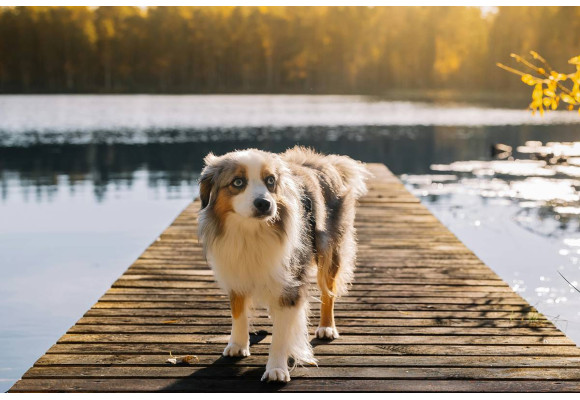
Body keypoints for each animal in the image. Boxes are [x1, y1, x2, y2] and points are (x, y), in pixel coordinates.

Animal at [197, 146, 370, 382]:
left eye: (270, 180)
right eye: (238, 182)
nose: (264, 203)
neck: (251, 231)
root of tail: (323, 161)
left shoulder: (290, 281)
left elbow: (281, 333)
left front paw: (276, 369)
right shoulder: (236, 271)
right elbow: (238, 311)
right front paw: (238, 345)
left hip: (329, 251)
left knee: (328, 291)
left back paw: (326, 327)